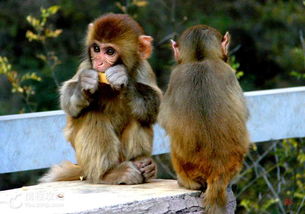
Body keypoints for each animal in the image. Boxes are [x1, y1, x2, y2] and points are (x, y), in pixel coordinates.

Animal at [40, 13, 162, 185]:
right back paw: (109, 174)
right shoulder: (85, 66)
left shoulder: (144, 68)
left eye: (110, 51)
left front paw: (123, 79)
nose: (98, 62)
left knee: (140, 118)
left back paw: (144, 166)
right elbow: (68, 102)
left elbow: (156, 106)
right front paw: (83, 85)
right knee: (92, 115)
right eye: (96, 49)